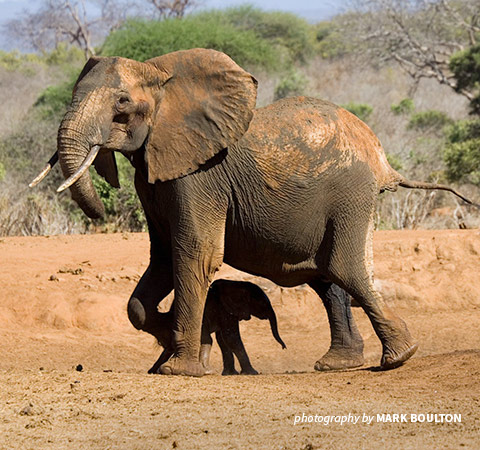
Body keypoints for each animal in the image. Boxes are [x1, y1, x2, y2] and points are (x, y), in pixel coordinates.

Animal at [148, 280, 286, 374]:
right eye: (262, 303)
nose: (284, 347)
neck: (237, 284)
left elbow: (222, 339)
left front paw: (231, 374)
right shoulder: (225, 309)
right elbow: (231, 337)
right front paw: (252, 373)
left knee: (172, 346)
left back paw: (155, 371)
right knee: (207, 339)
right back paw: (206, 371)